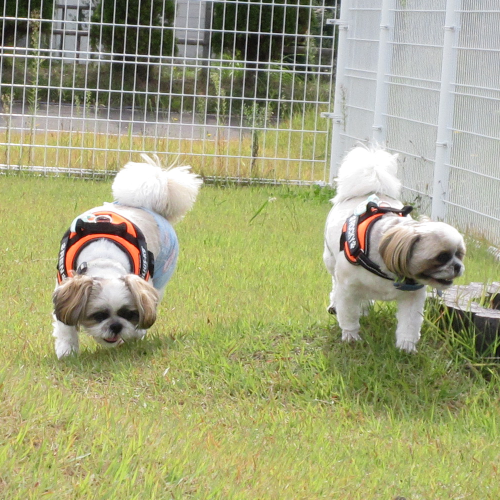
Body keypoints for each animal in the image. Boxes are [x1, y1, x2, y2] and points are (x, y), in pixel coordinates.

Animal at [52, 155, 202, 358]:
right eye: (99, 315)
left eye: (129, 313)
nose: (116, 326)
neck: (104, 259)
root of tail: (147, 206)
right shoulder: (64, 284)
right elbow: (65, 326)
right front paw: (67, 352)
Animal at [323, 145, 465, 352]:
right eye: (441, 257)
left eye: (460, 255)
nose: (457, 266)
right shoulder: (348, 288)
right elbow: (348, 314)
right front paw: (351, 336)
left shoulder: (412, 296)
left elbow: (409, 324)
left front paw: (406, 347)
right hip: (331, 260)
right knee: (335, 283)